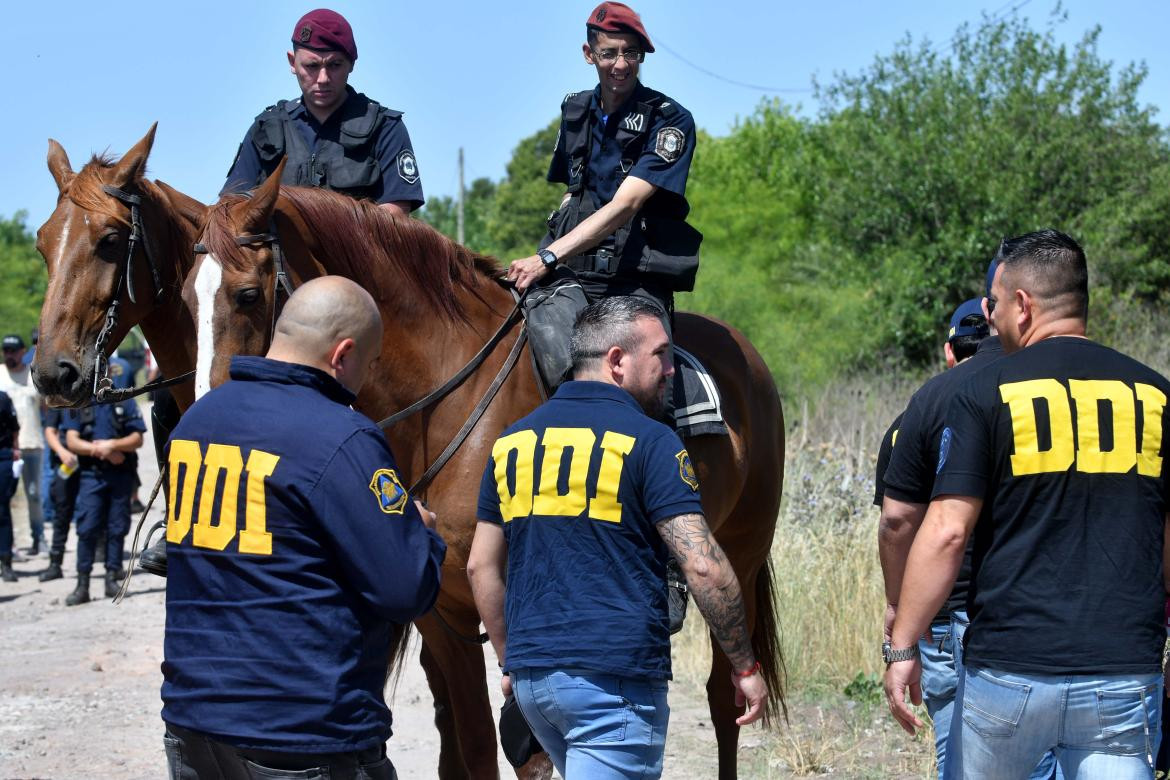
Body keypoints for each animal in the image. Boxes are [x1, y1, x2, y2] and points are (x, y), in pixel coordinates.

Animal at [184, 164, 786, 780]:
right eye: (185, 299)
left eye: (248, 294)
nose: (210, 411)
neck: (452, 395)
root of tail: (747, 356)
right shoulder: (445, 617)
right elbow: (474, 742)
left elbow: (533, 749)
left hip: (741, 554)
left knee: (725, 698)